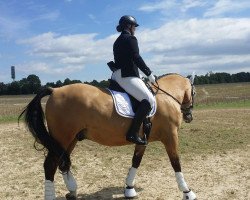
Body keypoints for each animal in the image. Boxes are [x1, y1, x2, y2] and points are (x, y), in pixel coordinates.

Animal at [19, 73, 197, 200]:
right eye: (194, 92)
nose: (189, 116)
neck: (166, 97)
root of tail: (55, 90)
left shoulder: (142, 140)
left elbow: (136, 161)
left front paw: (129, 189)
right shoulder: (170, 136)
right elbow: (176, 162)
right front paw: (187, 192)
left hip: (70, 139)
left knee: (62, 162)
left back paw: (72, 190)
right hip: (63, 137)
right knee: (50, 165)